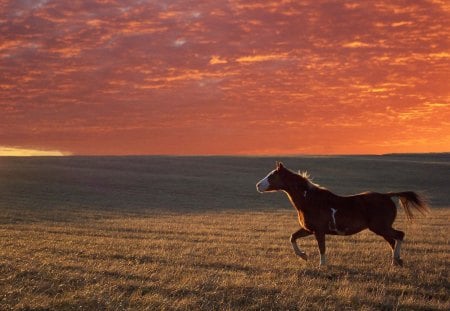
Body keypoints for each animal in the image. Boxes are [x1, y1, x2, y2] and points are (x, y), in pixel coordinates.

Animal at [256, 162, 428, 266]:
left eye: (271, 176)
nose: (258, 185)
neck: (310, 200)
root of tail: (387, 195)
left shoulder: (319, 231)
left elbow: (322, 248)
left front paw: (322, 265)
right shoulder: (309, 229)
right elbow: (292, 237)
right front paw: (303, 256)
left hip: (380, 227)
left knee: (399, 235)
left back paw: (396, 259)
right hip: (381, 229)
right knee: (393, 241)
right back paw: (396, 261)